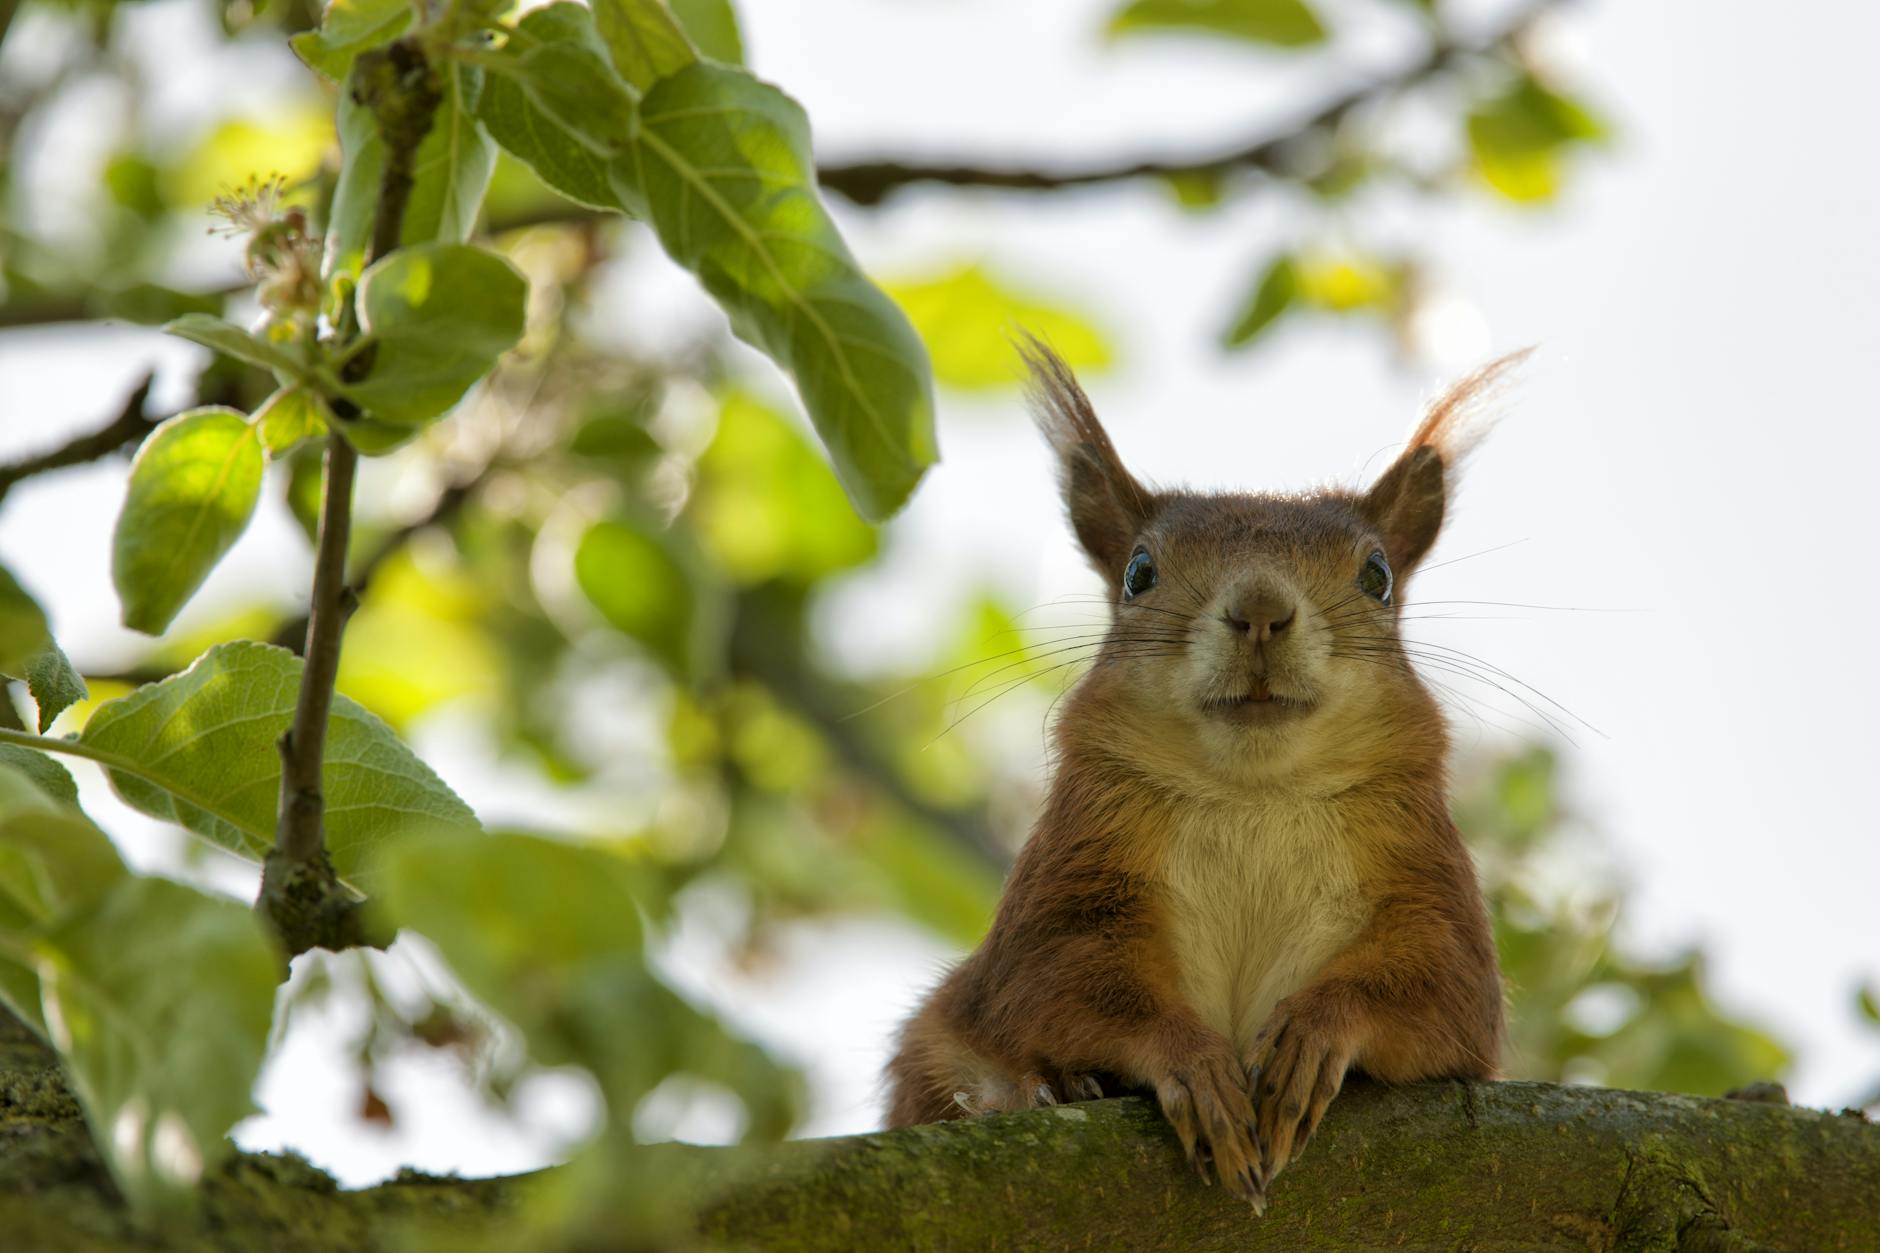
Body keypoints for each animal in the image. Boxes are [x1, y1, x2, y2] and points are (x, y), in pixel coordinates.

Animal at [884, 340, 1515, 1212]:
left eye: (1378, 575)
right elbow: (1053, 984)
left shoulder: (1430, 889)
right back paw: (1052, 1087)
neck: (1255, 793)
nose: (1260, 610)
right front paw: (1195, 1066)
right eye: (1138, 573)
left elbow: (1444, 995)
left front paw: (1312, 1035)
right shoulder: (1070, 881)